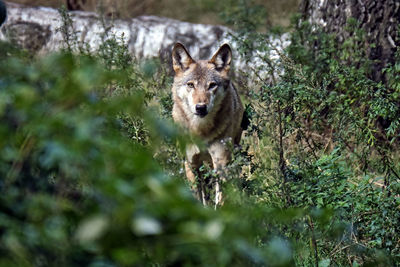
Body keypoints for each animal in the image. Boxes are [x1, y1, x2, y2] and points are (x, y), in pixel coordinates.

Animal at [171, 43, 244, 208]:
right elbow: (197, 198)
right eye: (190, 85)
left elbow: (220, 200)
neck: (201, 131)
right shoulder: (190, 164)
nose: (200, 108)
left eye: (212, 85)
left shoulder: (221, 163)